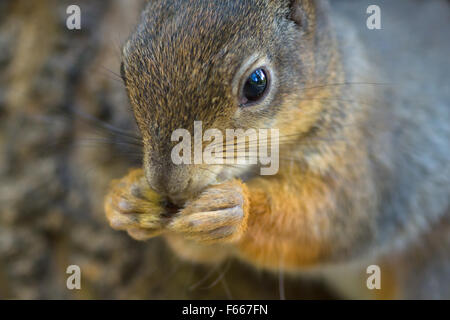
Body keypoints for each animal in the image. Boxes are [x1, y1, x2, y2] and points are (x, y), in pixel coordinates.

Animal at [103, 0, 450, 300]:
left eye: (257, 83)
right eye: (123, 68)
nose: (167, 184)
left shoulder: (372, 157)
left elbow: (332, 216)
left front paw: (236, 208)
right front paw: (126, 198)